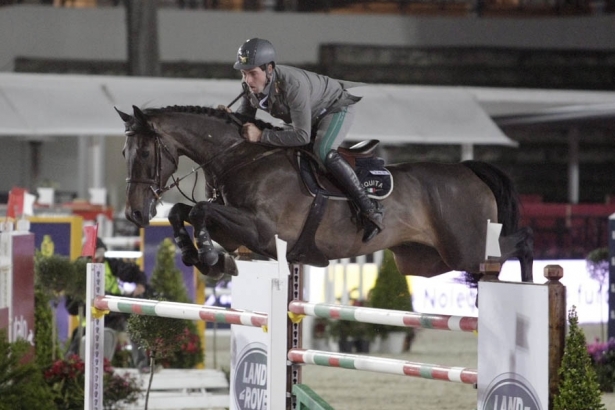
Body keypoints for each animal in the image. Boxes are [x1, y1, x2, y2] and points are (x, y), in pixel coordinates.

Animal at [116, 104, 536, 284]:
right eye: (124, 154)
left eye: (145, 154)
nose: (135, 214)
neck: (240, 156)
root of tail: (468, 169)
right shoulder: (239, 234)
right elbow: (182, 212)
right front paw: (199, 255)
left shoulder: (261, 231)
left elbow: (200, 211)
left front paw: (205, 254)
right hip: (422, 261)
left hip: (466, 248)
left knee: (519, 245)